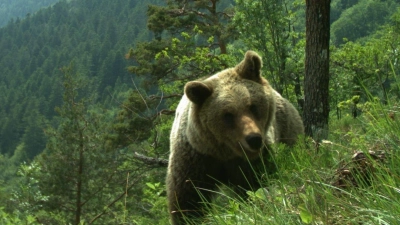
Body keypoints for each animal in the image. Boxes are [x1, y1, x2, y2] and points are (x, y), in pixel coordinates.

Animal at [166, 51, 304, 225]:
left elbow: (256, 185)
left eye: (252, 106)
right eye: (228, 115)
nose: (254, 139)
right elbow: (189, 198)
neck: (225, 152)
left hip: (288, 128)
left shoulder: (251, 161)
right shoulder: (196, 157)